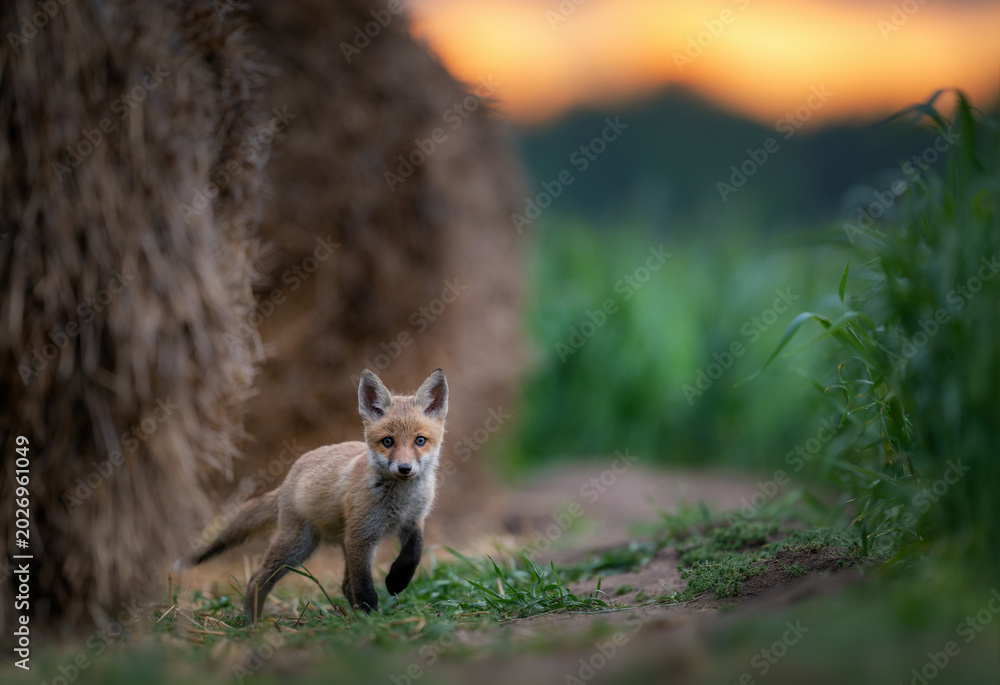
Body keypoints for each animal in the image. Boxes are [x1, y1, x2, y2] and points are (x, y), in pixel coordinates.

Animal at [174, 368, 448, 621]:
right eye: (388, 442)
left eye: (420, 440)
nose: (404, 468)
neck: (400, 501)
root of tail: (289, 477)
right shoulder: (361, 536)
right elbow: (364, 587)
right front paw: (371, 620)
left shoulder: (412, 521)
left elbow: (413, 554)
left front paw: (396, 582)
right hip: (298, 546)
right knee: (257, 578)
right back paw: (252, 623)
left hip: (332, 543)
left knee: (345, 585)